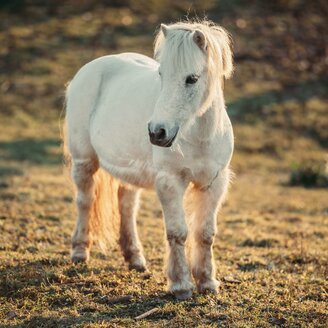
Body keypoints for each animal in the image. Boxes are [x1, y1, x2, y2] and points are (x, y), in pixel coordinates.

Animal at [64, 19, 233, 298]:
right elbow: (177, 233)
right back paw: (79, 252)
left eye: (192, 79)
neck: (198, 136)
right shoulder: (169, 182)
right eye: (161, 74)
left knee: (127, 206)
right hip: (84, 162)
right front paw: (181, 285)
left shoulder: (213, 183)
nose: (157, 132)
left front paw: (208, 282)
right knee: (85, 201)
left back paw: (135, 258)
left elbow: (205, 233)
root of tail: (92, 67)